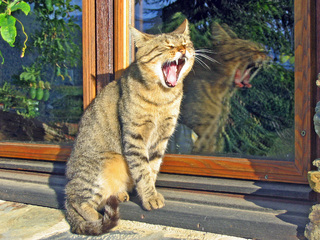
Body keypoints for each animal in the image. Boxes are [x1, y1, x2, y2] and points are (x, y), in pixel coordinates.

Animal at [65, 19, 194, 236]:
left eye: (185, 43)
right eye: (168, 45)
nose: (183, 49)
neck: (162, 97)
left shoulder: (161, 139)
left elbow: (151, 168)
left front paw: (149, 192)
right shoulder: (135, 136)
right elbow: (142, 169)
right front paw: (150, 197)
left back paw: (119, 195)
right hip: (102, 165)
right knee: (75, 200)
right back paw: (97, 216)